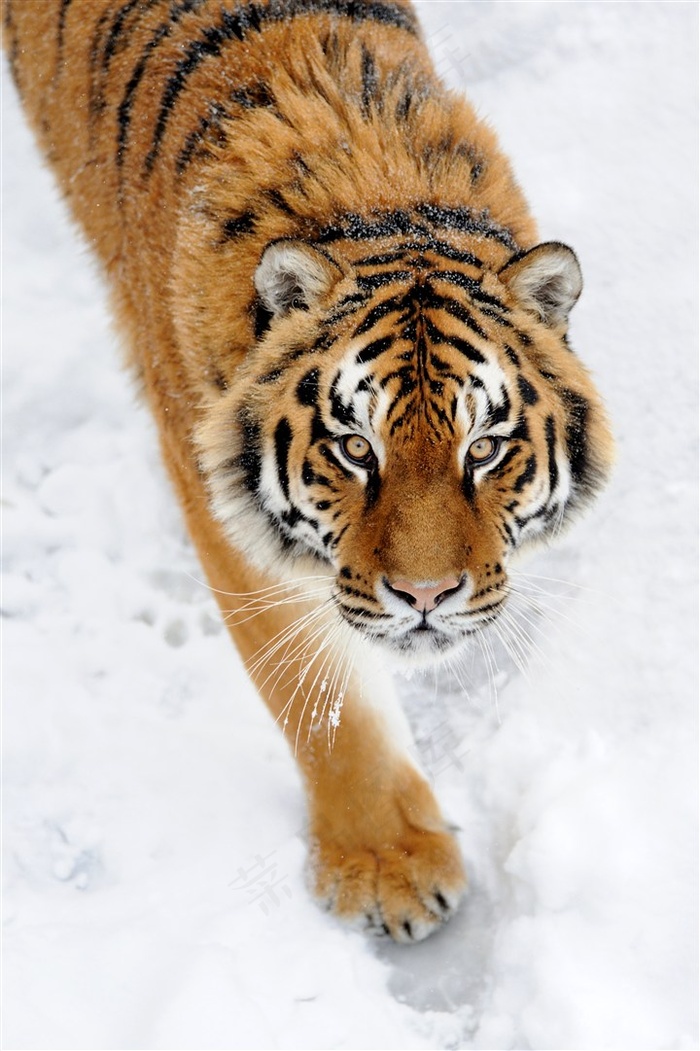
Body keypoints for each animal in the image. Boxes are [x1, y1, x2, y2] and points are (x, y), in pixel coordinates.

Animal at [2, 0, 609, 941]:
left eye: (482, 448)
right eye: (356, 447)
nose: (427, 595)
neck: (381, 201)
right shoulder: (221, 507)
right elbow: (320, 697)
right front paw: (389, 867)